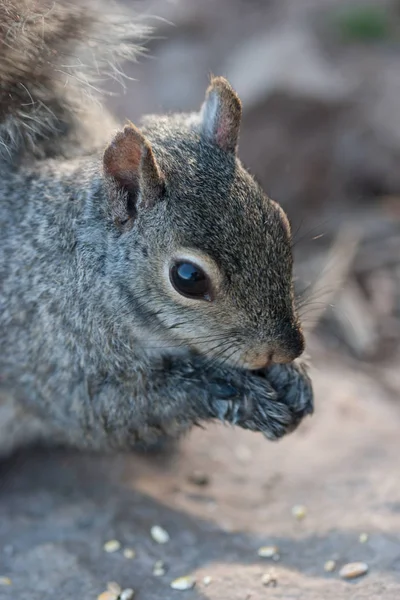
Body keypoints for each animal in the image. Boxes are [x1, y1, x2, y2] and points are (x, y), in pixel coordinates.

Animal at [0, 0, 312, 454]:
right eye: (188, 278)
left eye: (281, 222)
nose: (286, 349)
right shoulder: (52, 358)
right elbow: (113, 408)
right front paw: (235, 392)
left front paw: (294, 377)